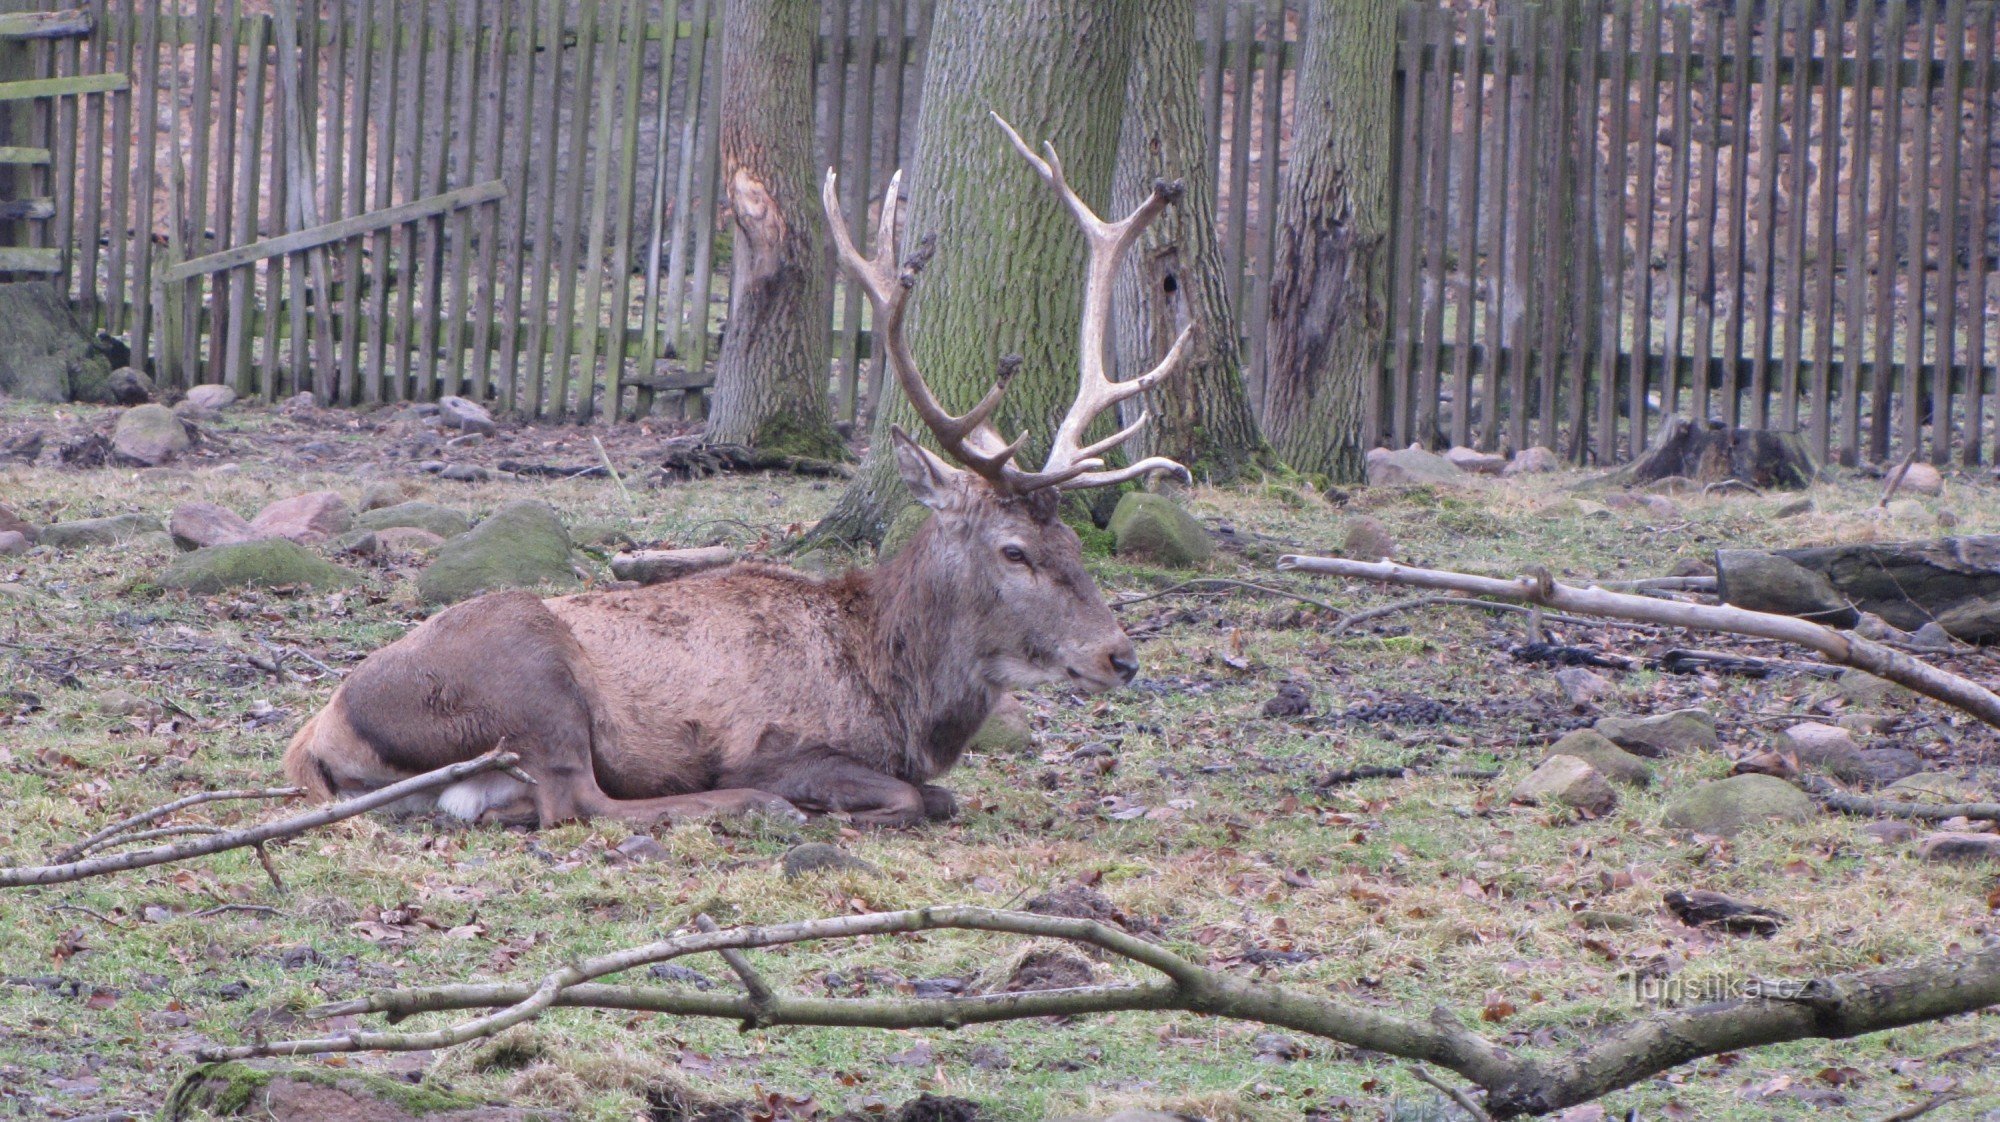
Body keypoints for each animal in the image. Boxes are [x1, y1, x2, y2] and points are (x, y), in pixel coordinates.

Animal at [288, 118, 1192, 828]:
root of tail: (318, 737)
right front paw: (820, 799)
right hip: (530, 675)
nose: (1122, 657)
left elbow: (942, 793)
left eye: (1070, 542)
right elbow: (920, 796)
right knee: (580, 801)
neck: (891, 691)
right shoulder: (777, 740)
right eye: (1014, 550)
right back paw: (753, 807)